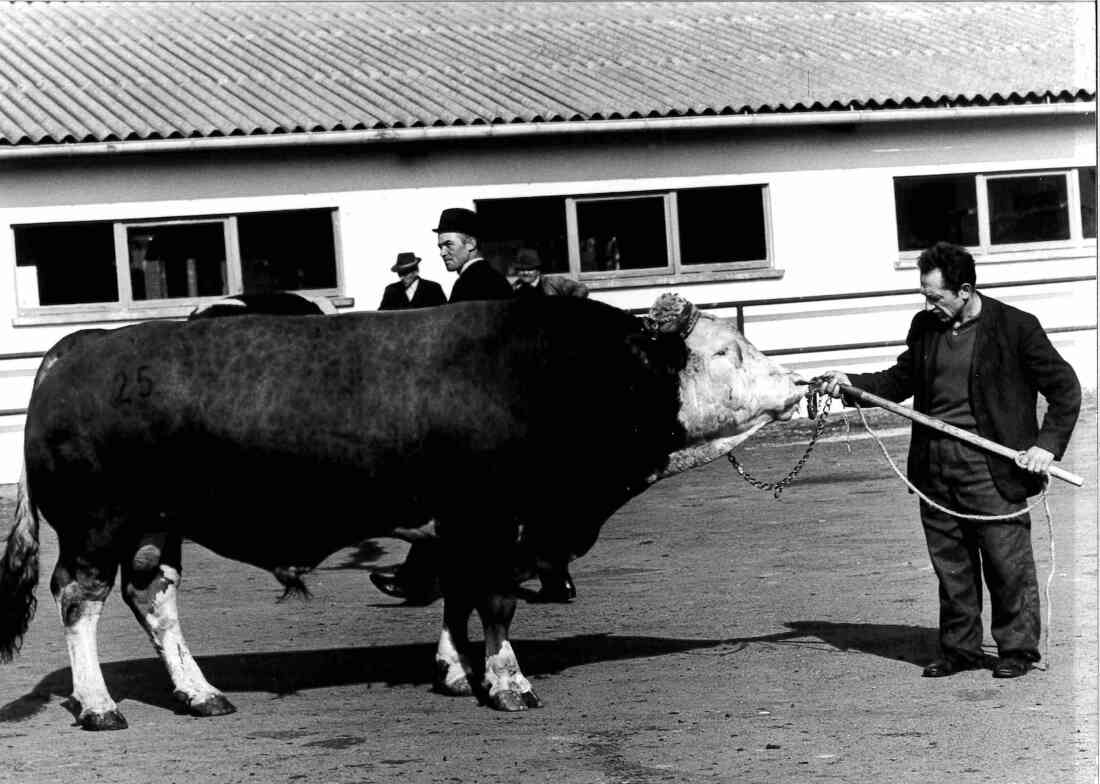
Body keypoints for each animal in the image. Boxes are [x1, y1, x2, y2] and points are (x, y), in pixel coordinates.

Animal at [0, 294, 805, 725]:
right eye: (726, 352)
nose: (797, 385)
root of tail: (79, 346)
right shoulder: (497, 522)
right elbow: (496, 603)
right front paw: (506, 682)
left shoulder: (458, 527)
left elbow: (454, 598)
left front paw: (455, 670)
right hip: (97, 526)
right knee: (79, 599)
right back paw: (99, 704)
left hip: (153, 529)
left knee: (152, 598)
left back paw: (200, 693)